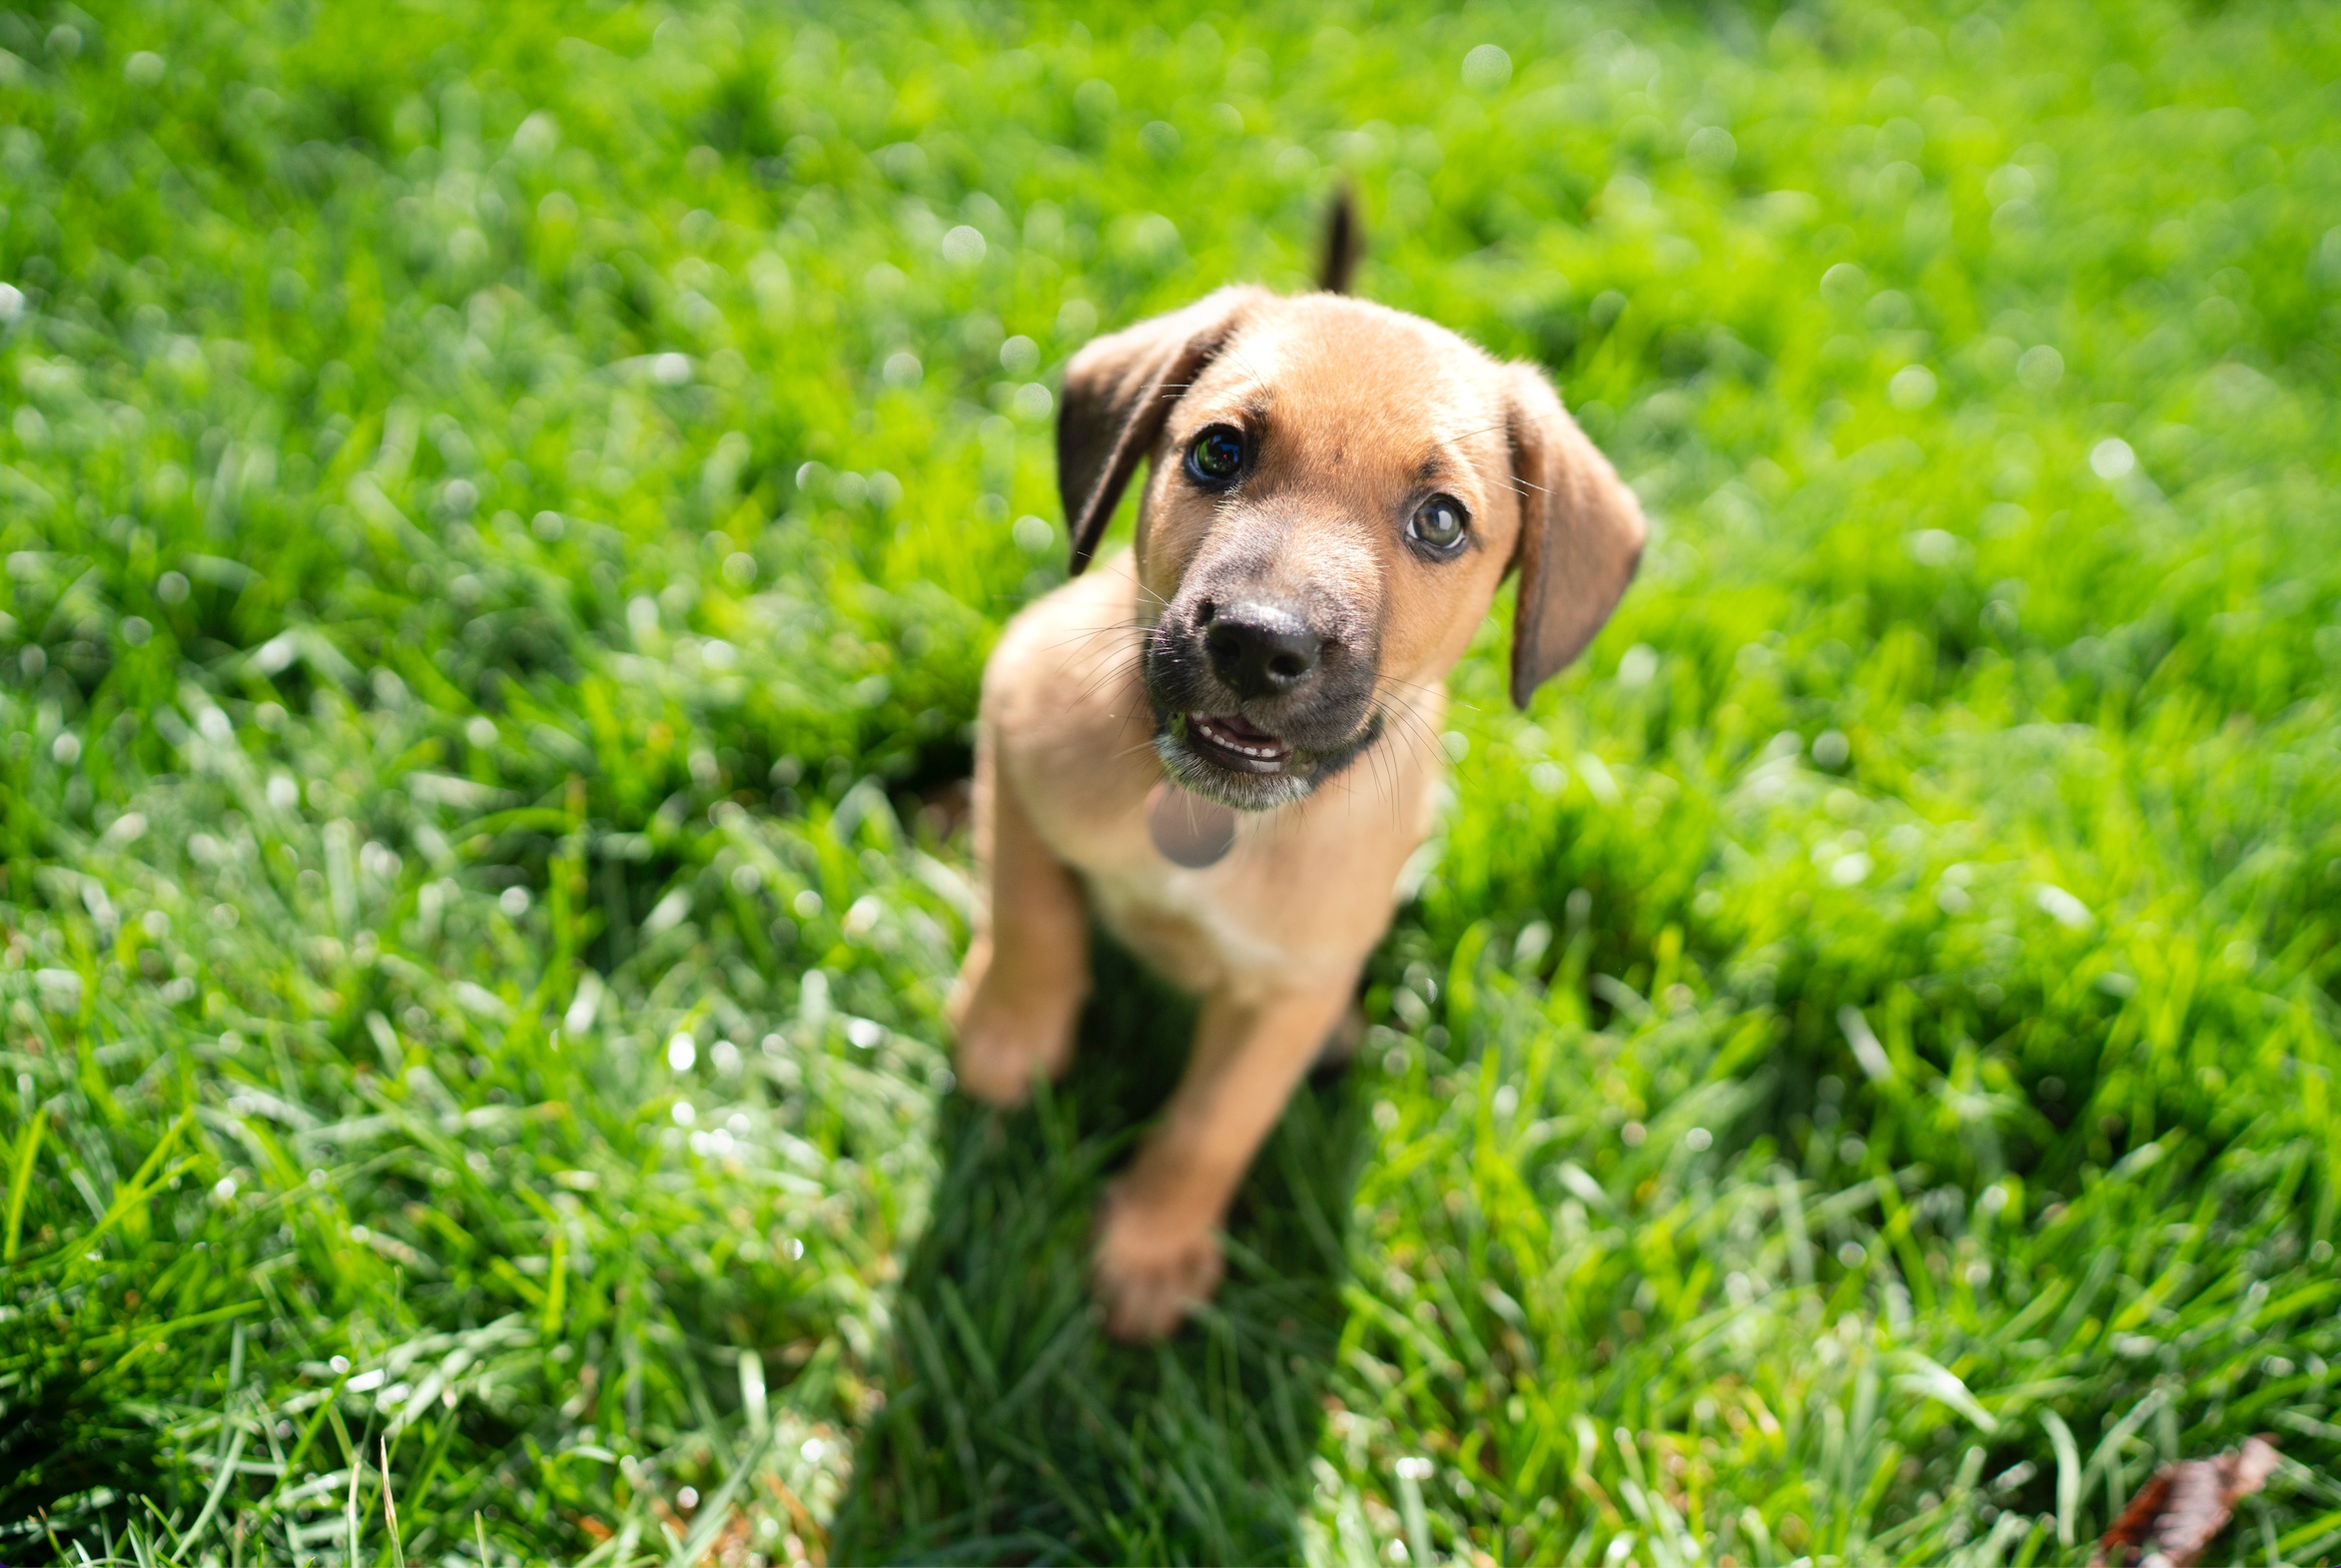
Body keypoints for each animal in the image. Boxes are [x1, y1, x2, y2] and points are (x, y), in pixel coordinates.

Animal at [941, 227, 1638, 1347]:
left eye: (1441, 521)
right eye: (1217, 452)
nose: (1258, 644)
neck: (1205, 818)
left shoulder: (1291, 990)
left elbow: (1212, 1122)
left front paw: (1152, 1247)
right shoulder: (1013, 720)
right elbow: (1033, 917)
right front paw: (1009, 1041)